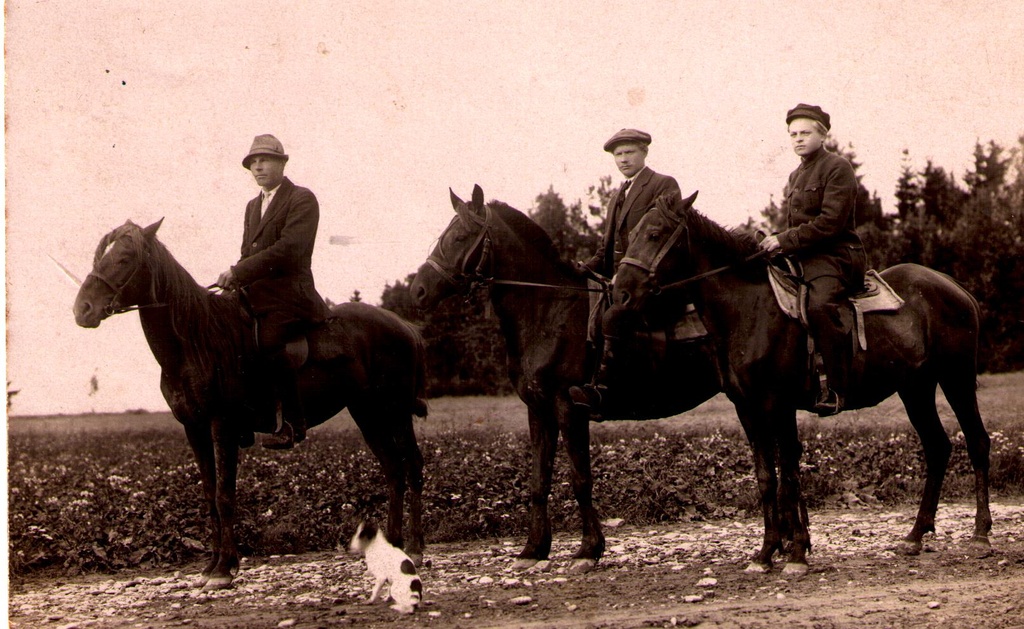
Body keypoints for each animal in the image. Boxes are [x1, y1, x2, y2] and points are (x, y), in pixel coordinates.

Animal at [74, 220, 428, 590]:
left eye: (124, 258)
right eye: (100, 255)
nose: (82, 309)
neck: (196, 342)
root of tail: (405, 325)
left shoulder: (222, 424)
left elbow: (224, 495)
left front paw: (224, 569)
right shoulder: (194, 428)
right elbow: (209, 495)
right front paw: (211, 565)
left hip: (395, 411)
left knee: (412, 466)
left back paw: (415, 548)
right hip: (367, 413)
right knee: (394, 469)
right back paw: (394, 545)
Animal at [407, 184, 720, 573]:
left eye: (460, 237)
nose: (417, 291)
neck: (547, 309)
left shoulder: (569, 408)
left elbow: (580, 478)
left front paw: (589, 549)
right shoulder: (539, 410)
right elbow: (538, 479)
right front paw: (534, 548)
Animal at [610, 193, 987, 577]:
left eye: (654, 233)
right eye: (634, 232)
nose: (620, 292)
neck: (748, 308)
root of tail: (954, 286)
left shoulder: (778, 403)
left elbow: (788, 473)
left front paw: (796, 552)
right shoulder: (747, 409)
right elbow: (767, 477)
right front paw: (766, 552)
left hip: (955, 379)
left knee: (977, 442)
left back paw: (980, 533)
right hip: (916, 388)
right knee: (938, 448)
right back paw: (915, 535)